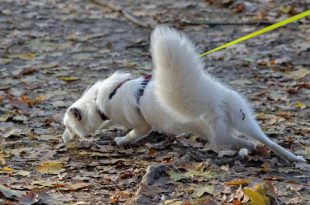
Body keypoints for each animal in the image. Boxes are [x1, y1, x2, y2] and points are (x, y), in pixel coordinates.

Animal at [62, 26, 306, 163]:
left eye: (67, 127)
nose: (61, 140)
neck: (98, 100)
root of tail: (211, 101)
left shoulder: (141, 124)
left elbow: (133, 133)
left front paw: (122, 140)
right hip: (240, 120)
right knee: (262, 140)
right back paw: (290, 157)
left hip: (218, 135)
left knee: (242, 141)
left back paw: (252, 150)